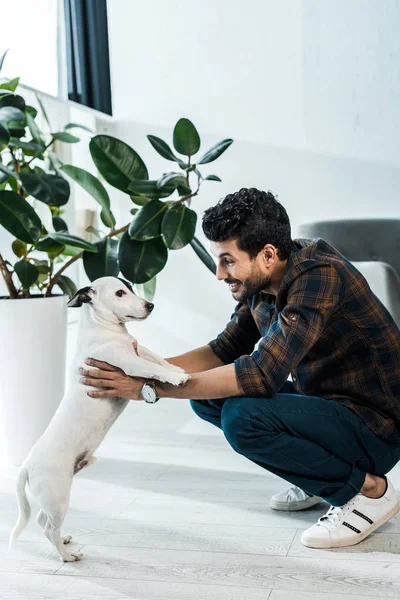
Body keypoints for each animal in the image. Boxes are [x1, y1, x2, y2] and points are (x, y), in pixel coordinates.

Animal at [10, 276, 188, 564]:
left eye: (131, 287)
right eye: (119, 293)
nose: (150, 305)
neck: (109, 332)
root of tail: (26, 465)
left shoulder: (138, 350)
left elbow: (156, 358)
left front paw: (176, 369)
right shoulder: (128, 363)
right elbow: (152, 367)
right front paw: (176, 377)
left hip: (54, 497)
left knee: (41, 520)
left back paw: (65, 541)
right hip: (59, 495)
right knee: (48, 528)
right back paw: (67, 556)